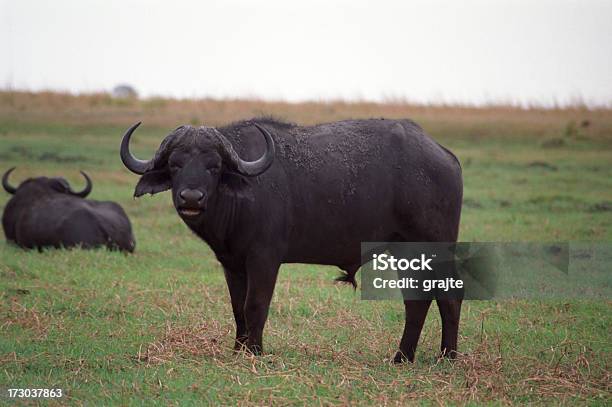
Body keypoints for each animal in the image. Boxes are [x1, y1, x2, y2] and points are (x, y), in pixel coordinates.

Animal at [120, 118, 464, 364]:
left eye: (213, 166)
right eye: (175, 164)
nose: (191, 198)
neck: (238, 199)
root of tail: (446, 156)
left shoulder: (264, 258)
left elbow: (256, 304)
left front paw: (255, 351)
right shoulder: (232, 264)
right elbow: (237, 307)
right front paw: (238, 350)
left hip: (433, 249)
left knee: (448, 296)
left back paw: (446, 357)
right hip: (405, 251)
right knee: (417, 300)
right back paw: (403, 357)